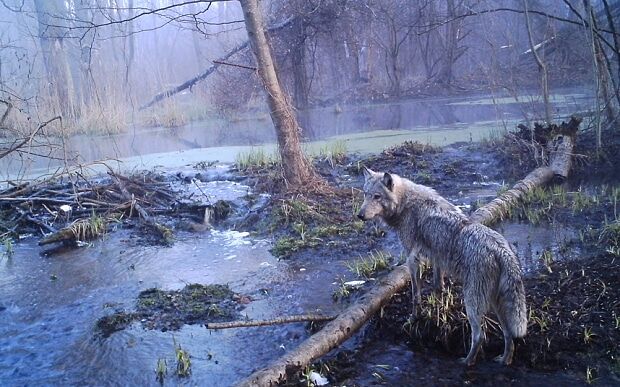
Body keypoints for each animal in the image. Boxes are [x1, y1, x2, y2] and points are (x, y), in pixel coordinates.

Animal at [358, 167, 528, 366]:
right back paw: (504, 360)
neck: (405, 204)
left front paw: (414, 318)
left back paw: (466, 362)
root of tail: (502, 250)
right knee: (509, 335)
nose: (359, 215)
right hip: (496, 304)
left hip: (473, 304)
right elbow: (437, 287)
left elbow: (416, 295)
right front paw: (438, 312)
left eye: (377, 197)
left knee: (480, 336)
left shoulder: (412, 259)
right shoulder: (436, 258)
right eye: (365, 194)